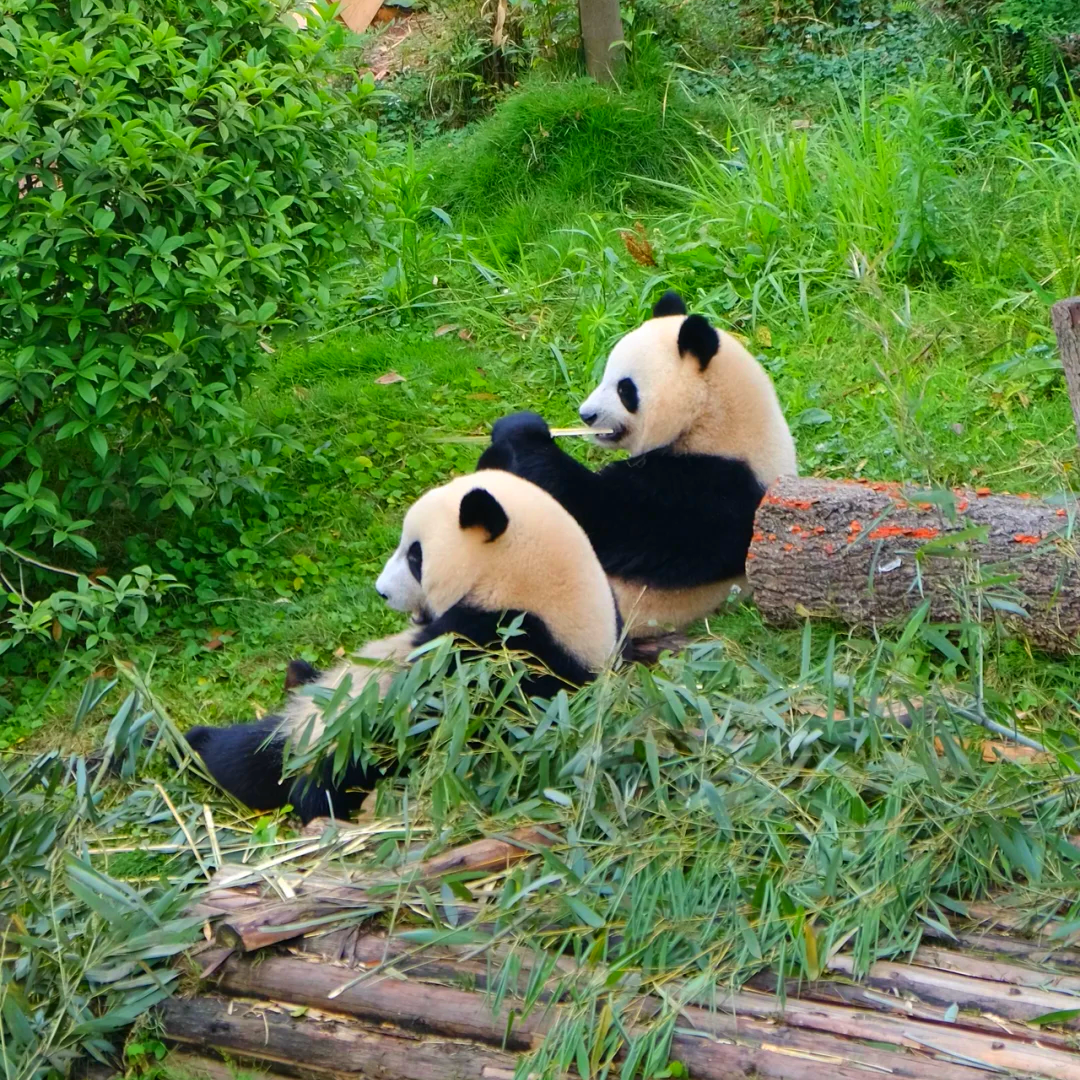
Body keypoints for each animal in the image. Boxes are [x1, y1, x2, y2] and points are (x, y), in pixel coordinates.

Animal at [185, 470, 626, 822]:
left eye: (415, 556)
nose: (382, 592)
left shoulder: (508, 645)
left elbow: (432, 688)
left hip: (340, 753)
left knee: (269, 765)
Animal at [476, 291, 797, 639]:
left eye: (624, 389)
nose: (586, 415)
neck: (714, 420)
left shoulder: (713, 487)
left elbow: (603, 518)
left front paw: (521, 432)